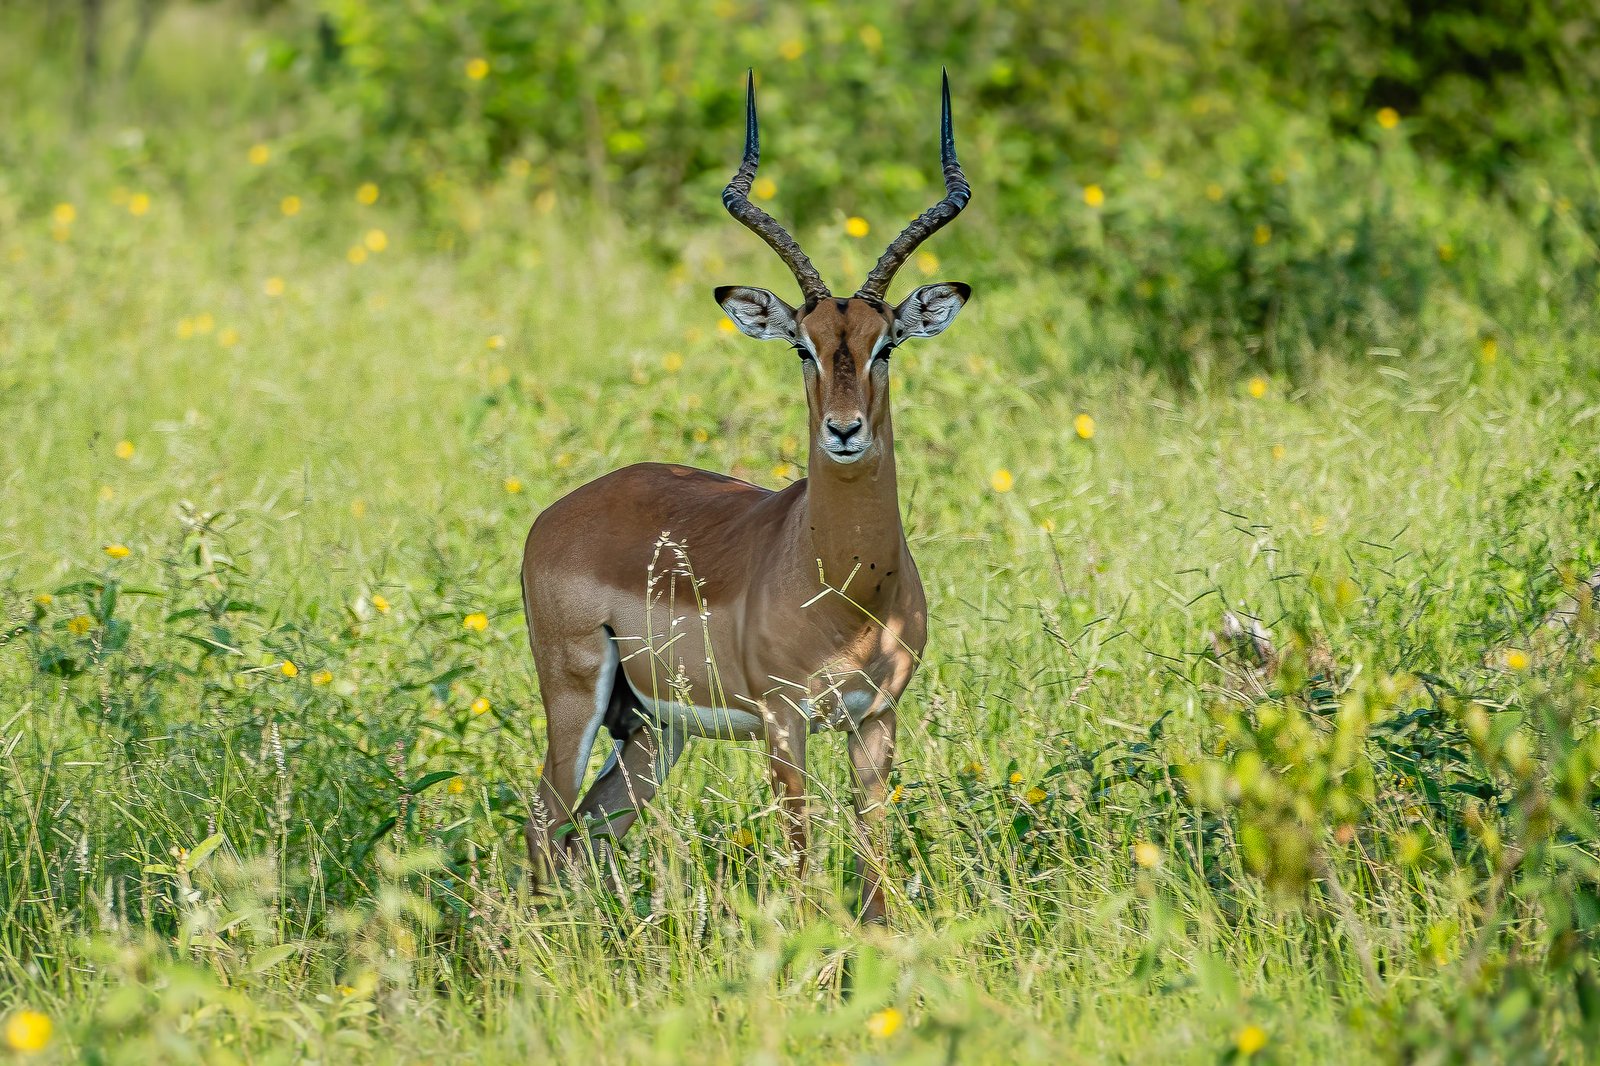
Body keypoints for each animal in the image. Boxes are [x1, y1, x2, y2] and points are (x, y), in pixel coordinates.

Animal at [520, 70, 971, 923]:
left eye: (885, 344)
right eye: (802, 346)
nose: (844, 430)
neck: (847, 589)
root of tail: (557, 515)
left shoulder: (876, 720)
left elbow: (872, 868)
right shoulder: (783, 721)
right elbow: (800, 866)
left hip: (654, 731)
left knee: (584, 835)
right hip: (575, 698)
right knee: (542, 823)